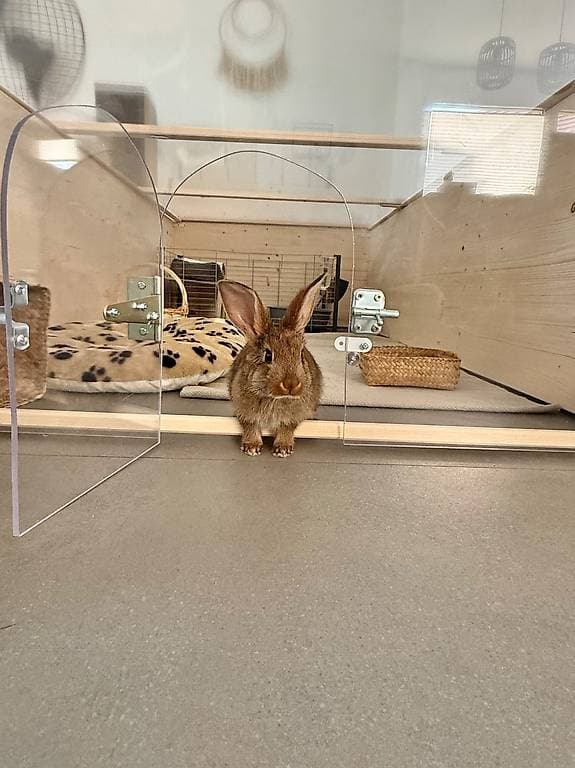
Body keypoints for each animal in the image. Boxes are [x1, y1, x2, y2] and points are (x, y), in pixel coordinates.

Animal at [218, 274, 324, 457]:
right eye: (268, 356)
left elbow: (286, 428)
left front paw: (282, 449)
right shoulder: (245, 412)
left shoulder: (294, 417)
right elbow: (250, 426)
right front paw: (251, 447)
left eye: (301, 354)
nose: (291, 384)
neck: (275, 398)